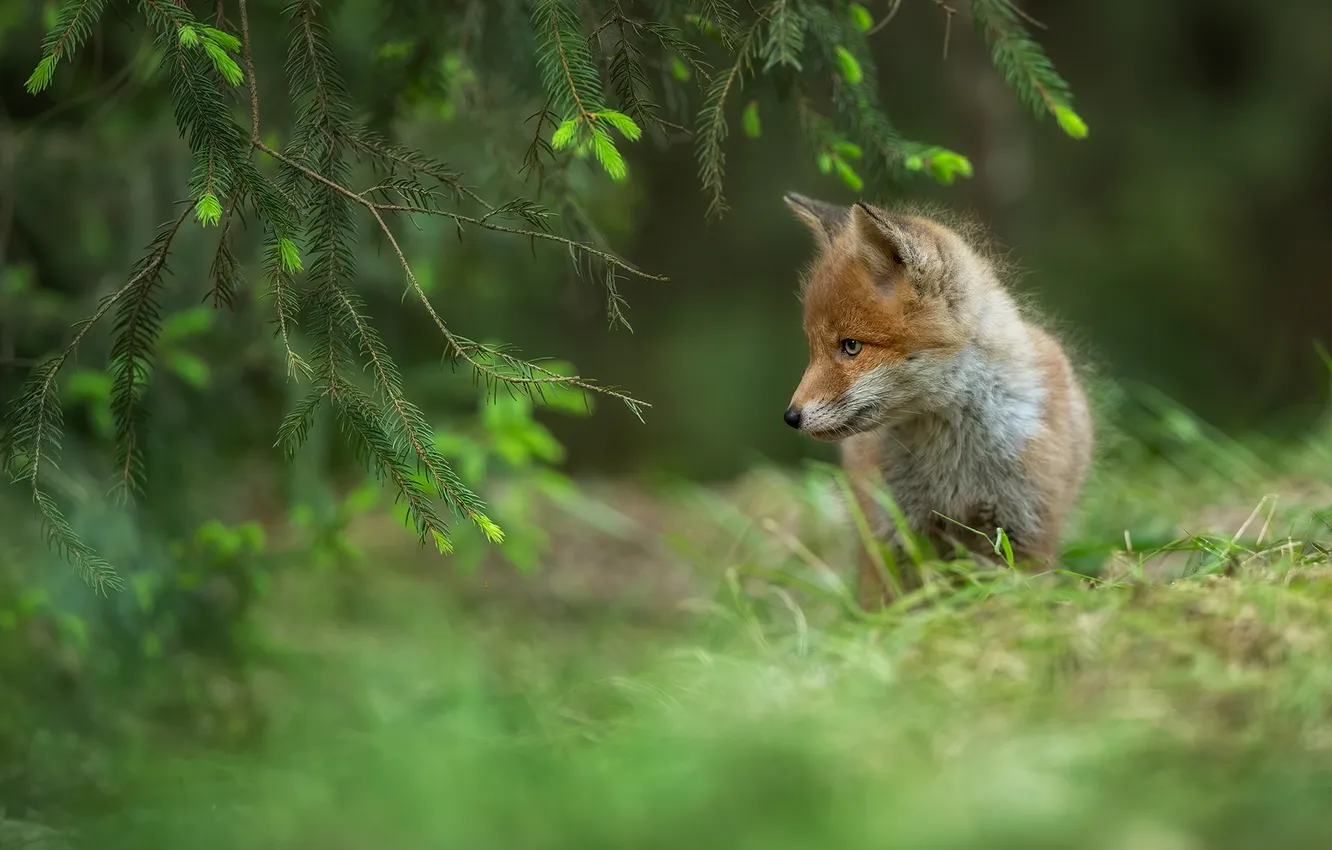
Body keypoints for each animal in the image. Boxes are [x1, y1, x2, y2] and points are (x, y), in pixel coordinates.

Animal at [780, 192, 1093, 609]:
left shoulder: (1025, 528)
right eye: (813, 348)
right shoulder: (898, 533)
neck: (953, 458)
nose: (790, 416)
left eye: (851, 346)